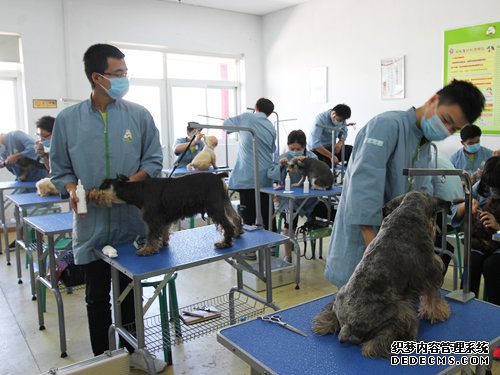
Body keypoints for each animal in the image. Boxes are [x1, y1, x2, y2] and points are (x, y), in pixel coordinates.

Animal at [88, 175, 244, 258]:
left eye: (103, 185)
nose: (90, 193)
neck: (139, 191)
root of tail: (218, 177)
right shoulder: (163, 219)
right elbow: (163, 232)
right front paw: (163, 243)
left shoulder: (153, 220)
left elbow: (151, 236)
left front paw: (147, 250)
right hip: (225, 203)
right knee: (236, 217)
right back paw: (237, 233)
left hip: (215, 208)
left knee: (227, 225)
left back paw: (225, 242)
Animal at [312, 192, 450, 360]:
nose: (436, 230)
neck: (408, 211)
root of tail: (347, 326)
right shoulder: (429, 273)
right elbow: (432, 297)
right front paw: (440, 313)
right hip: (402, 312)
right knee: (377, 344)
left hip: (339, 296)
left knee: (329, 313)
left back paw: (323, 324)